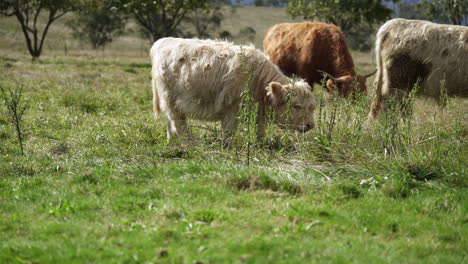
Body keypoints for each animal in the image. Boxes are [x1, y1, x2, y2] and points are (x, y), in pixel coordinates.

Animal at [152, 37, 316, 142]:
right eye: (296, 106)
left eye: (312, 107)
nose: (310, 125)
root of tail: (163, 41)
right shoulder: (231, 109)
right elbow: (229, 133)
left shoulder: (259, 113)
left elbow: (260, 132)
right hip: (170, 100)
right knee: (178, 124)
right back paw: (187, 144)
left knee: (170, 122)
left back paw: (171, 142)